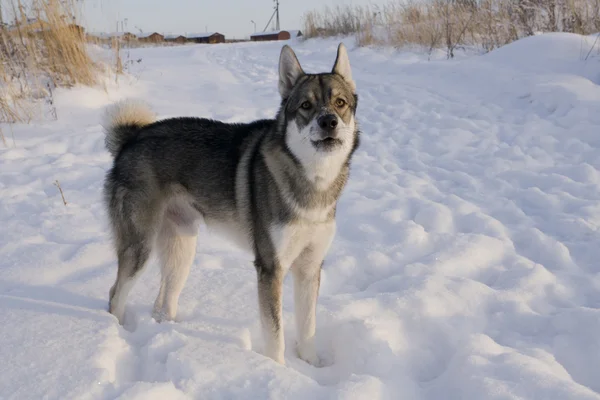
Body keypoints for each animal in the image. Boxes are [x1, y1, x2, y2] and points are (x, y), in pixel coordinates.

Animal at [101, 43, 358, 366]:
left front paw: (311, 366)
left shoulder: (310, 268)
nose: (329, 122)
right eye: (306, 106)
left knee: (163, 301)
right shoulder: (270, 268)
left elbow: (308, 327)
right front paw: (278, 370)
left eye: (340, 103)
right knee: (115, 295)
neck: (313, 180)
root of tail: (132, 138)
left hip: (182, 248)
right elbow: (275, 334)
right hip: (140, 248)